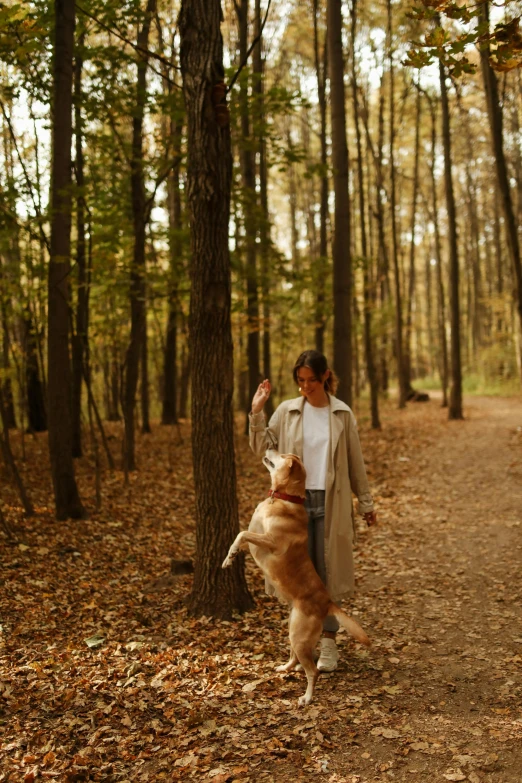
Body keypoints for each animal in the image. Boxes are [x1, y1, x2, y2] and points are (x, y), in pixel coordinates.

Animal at [220, 450, 370, 708]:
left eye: (282, 455)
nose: (269, 448)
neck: (283, 499)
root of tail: (327, 601)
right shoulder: (256, 538)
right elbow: (241, 535)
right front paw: (230, 556)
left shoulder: (270, 541)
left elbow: (242, 533)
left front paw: (229, 556)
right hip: (293, 630)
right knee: (295, 659)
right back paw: (284, 668)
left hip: (299, 636)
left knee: (312, 671)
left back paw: (307, 697)